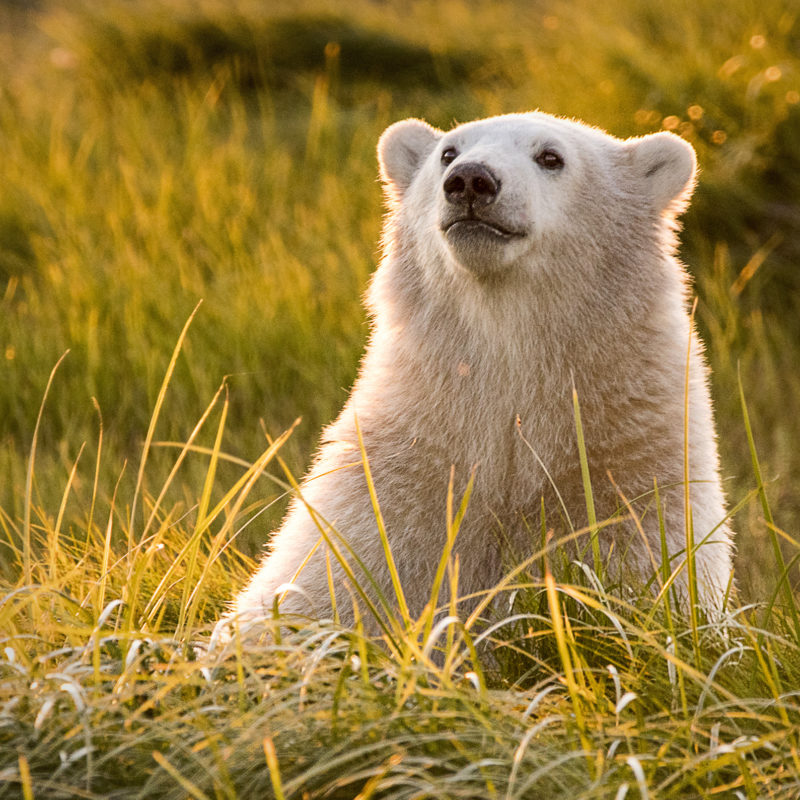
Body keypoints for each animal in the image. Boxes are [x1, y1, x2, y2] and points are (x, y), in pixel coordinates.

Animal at [228, 112, 736, 636]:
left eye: (550, 156)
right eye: (448, 152)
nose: (471, 180)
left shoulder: (631, 476)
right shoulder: (393, 481)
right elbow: (312, 593)